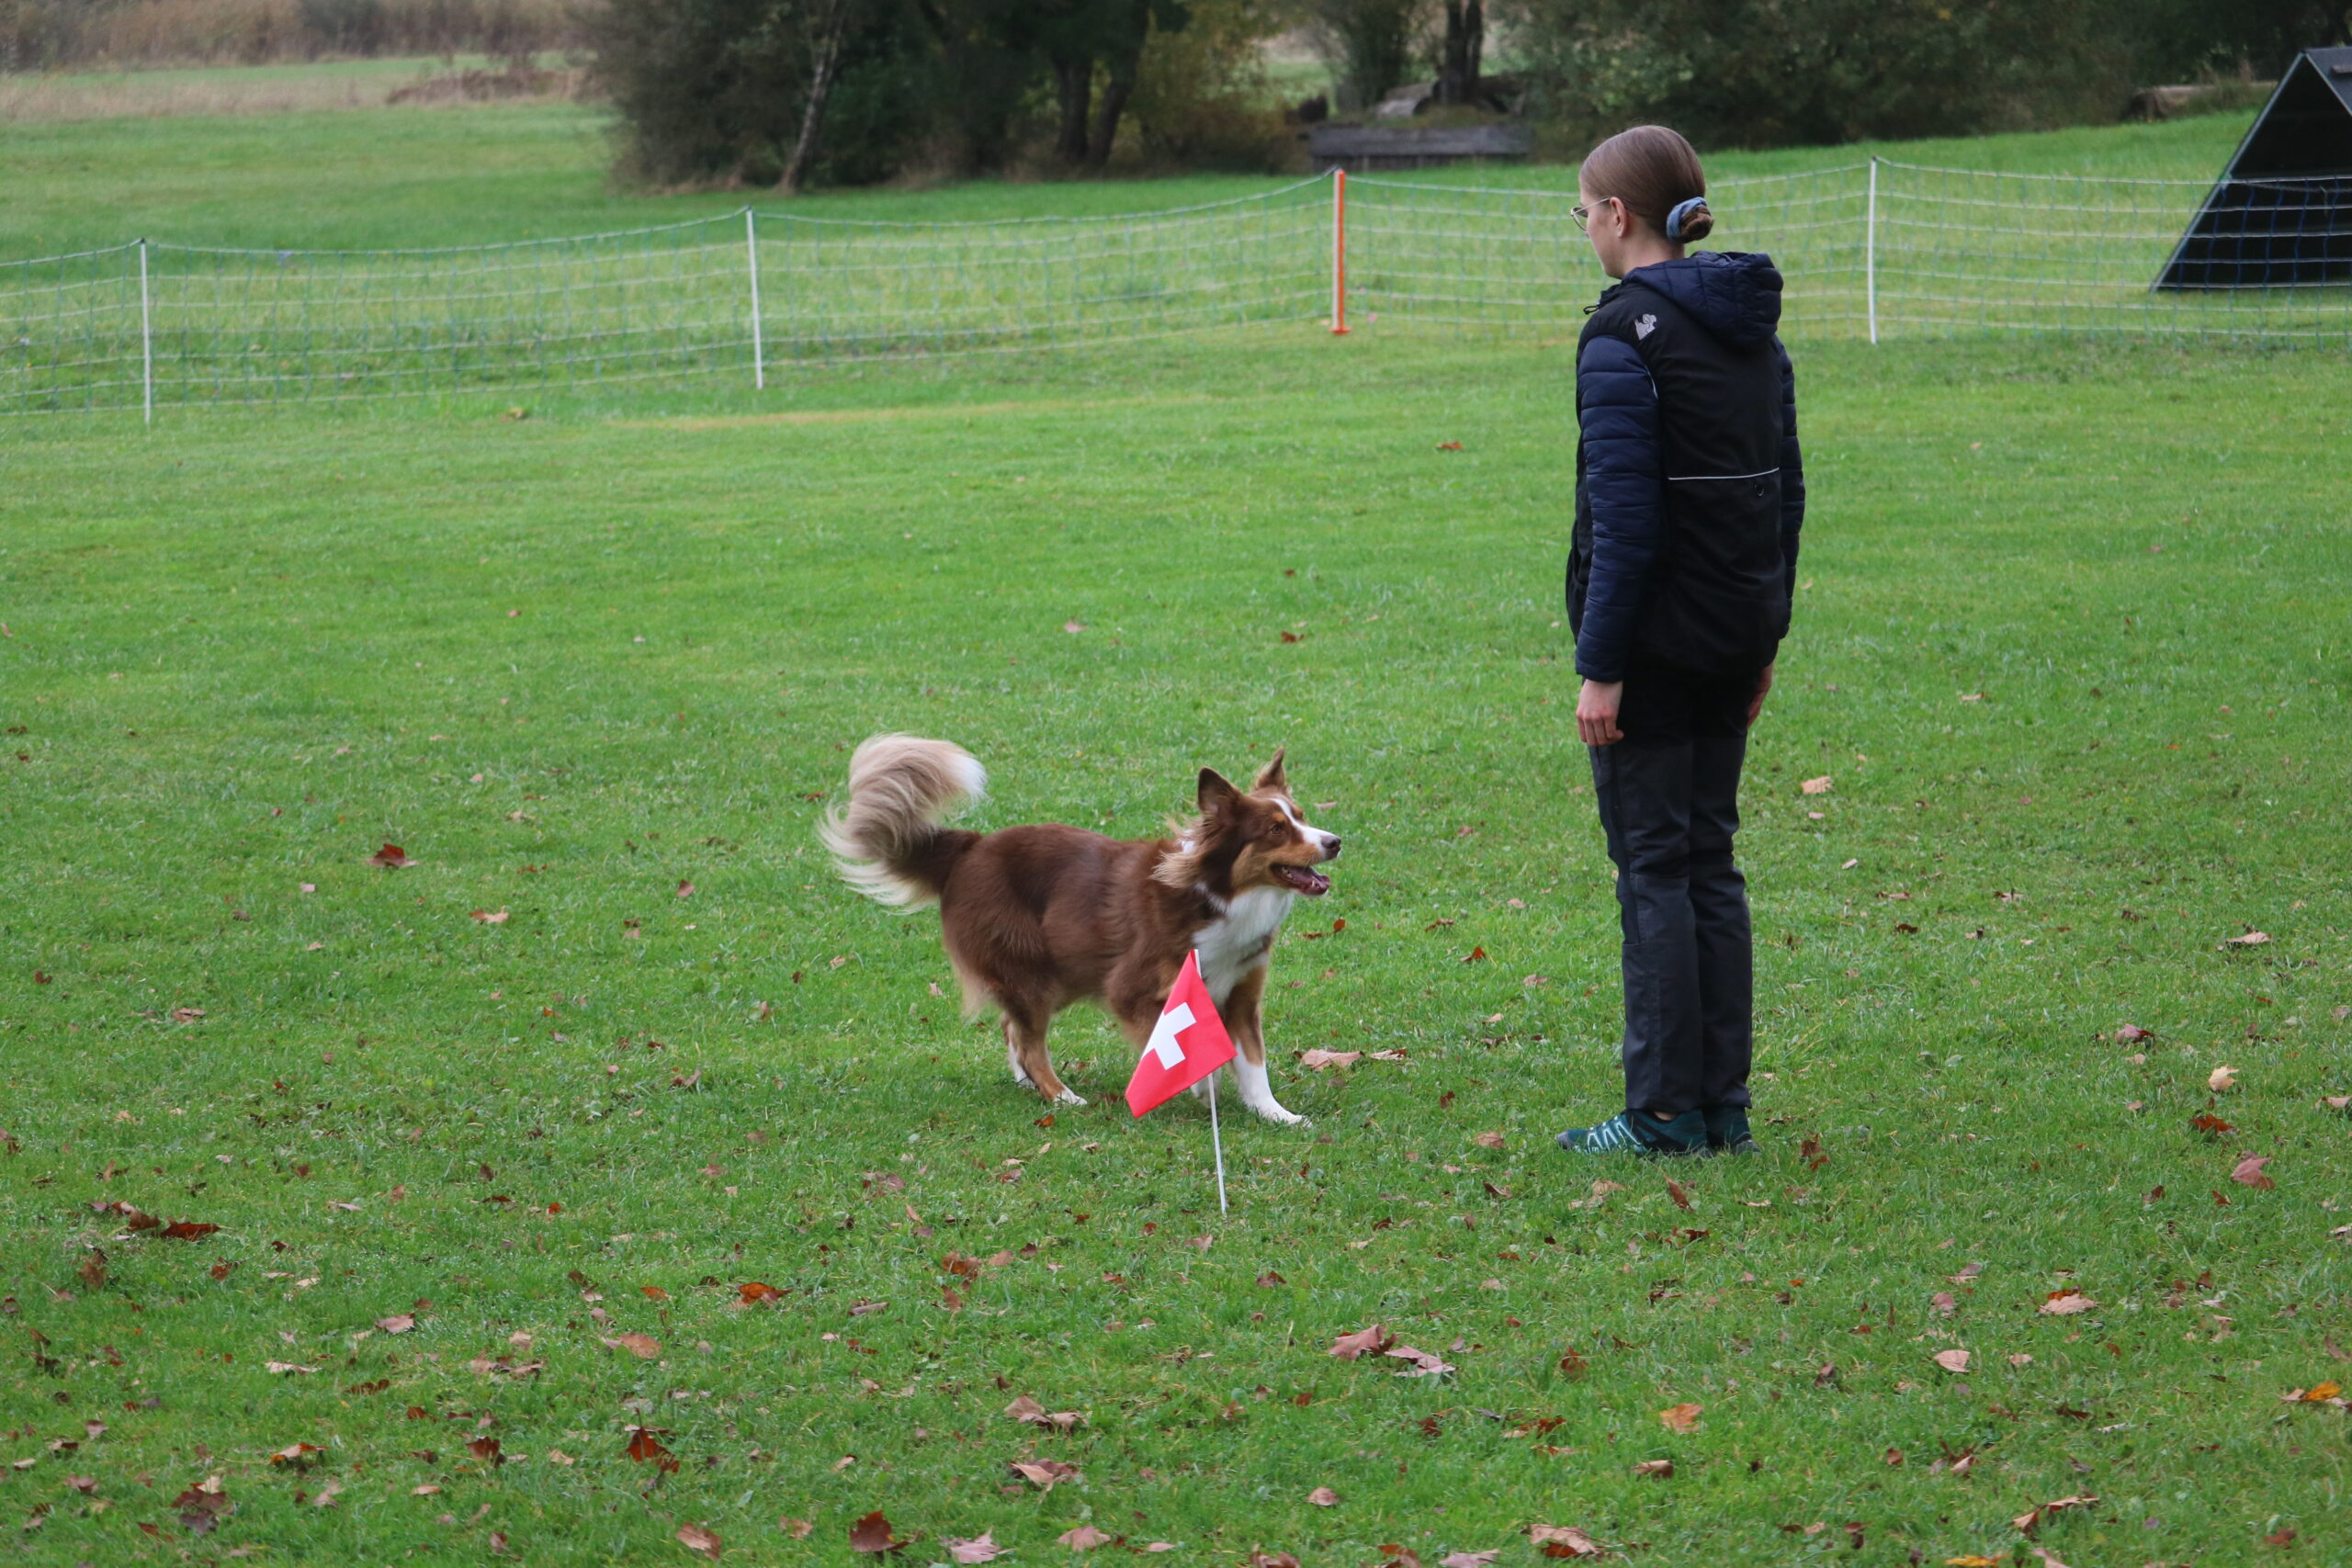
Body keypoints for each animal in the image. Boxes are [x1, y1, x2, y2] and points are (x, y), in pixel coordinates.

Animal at [823, 738, 1345, 1128]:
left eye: (1301, 816)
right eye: (1276, 830)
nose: (1335, 842)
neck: (1216, 897)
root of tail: (971, 849)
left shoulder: (1241, 994)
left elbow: (1255, 1065)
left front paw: (1276, 1114)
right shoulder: (1131, 989)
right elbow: (1180, 1041)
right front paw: (1203, 1085)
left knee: (1013, 1030)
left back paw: (1029, 1084)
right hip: (1031, 971)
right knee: (1030, 1041)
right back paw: (1061, 1096)